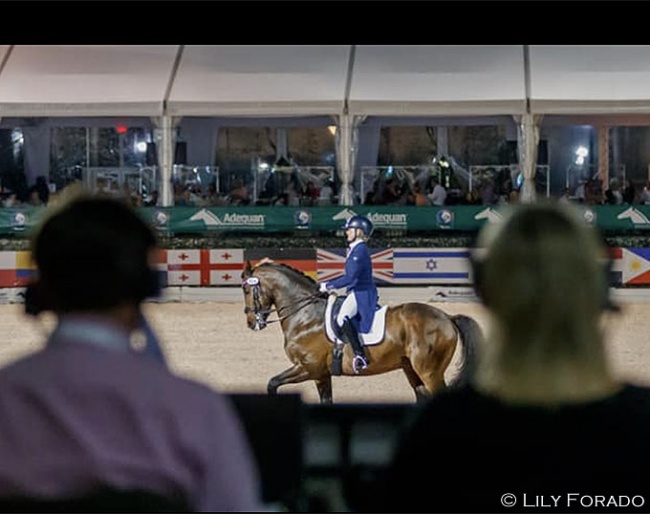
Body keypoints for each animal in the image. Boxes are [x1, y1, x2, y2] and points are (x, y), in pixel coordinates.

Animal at [240, 258, 484, 402]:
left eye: (246, 289)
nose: (252, 322)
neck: (305, 316)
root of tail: (447, 317)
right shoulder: (321, 375)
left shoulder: (307, 368)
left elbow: (272, 384)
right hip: (411, 369)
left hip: (429, 372)